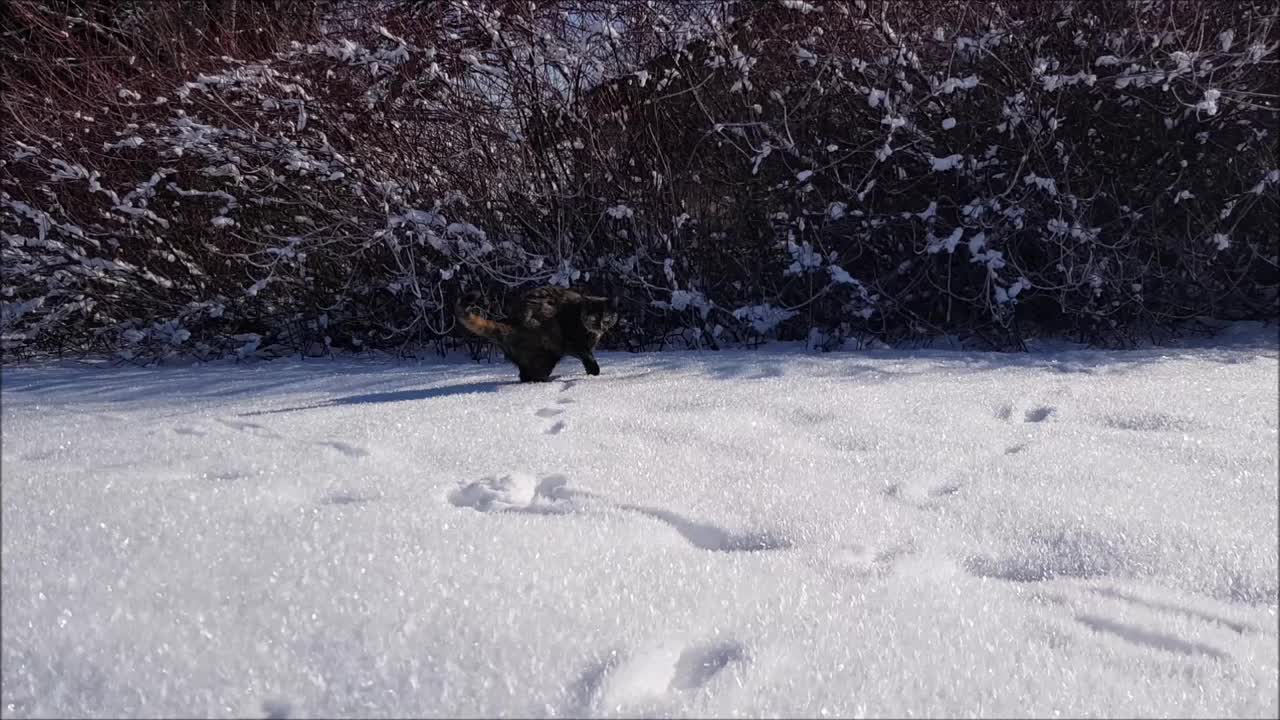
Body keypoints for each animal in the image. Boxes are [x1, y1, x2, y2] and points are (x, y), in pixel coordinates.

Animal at [458, 284, 622, 381]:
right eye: (594, 318)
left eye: (607, 319)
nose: (602, 327)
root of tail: (511, 322)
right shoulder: (573, 345)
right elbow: (588, 357)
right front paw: (594, 373)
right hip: (550, 349)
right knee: (534, 375)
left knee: (525, 375)